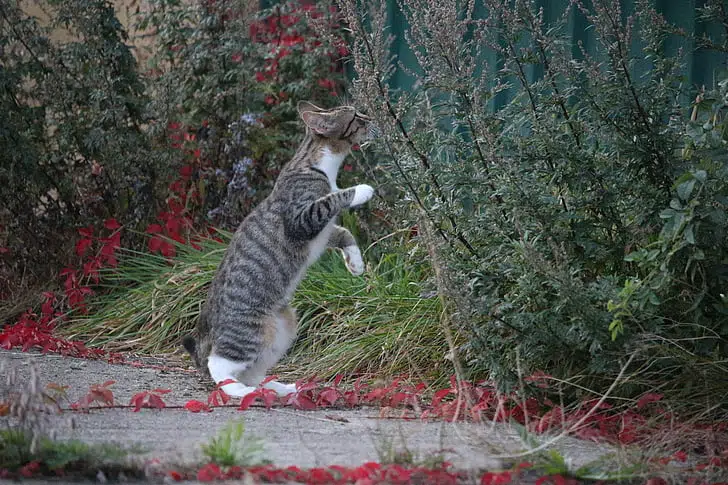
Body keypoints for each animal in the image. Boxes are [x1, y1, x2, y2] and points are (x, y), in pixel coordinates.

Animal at [182, 101, 378, 398]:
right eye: (355, 116)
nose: (371, 117)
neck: (322, 167)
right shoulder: (302, 219)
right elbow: (335, 198)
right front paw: (363, 190)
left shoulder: (323, 233)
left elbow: (344, 233)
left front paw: (355, 263)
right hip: (249, 332)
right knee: (219, 365)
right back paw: (241, 391)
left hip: (284, 324)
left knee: (251, 371)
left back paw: (277, 387)